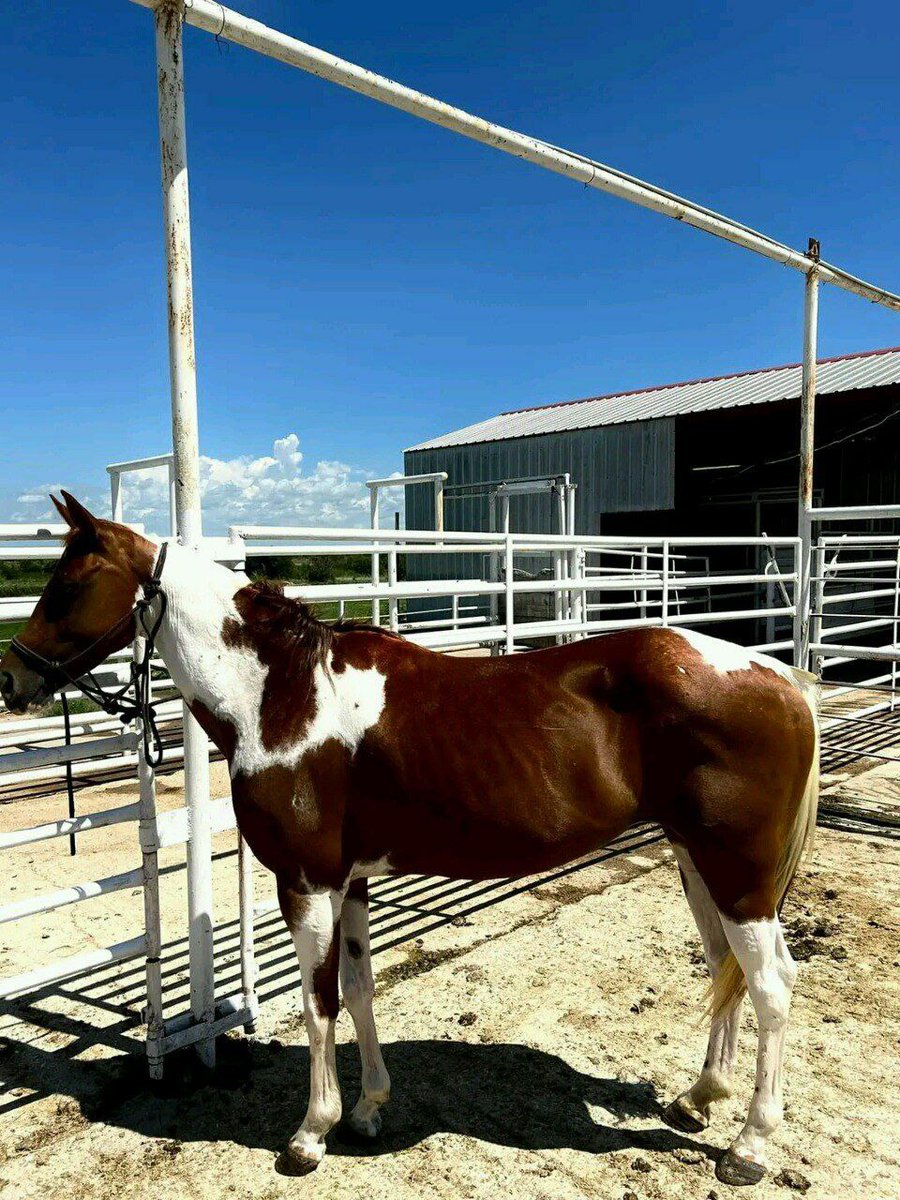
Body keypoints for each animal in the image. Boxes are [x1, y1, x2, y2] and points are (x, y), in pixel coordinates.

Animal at [0, 493, 819, 1186]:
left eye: (68, 586)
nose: (12, 680)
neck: (281, 694)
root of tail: (781, 679)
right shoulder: (351, 880)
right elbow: (359, 988)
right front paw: (367, 1110)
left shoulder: (306, 881)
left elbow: (319, 1001)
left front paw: (311, 1133)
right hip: (698, 864)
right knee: (724, 971)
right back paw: (698, 1097)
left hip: (739, 877)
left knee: (771, 984)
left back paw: (749, 1147)